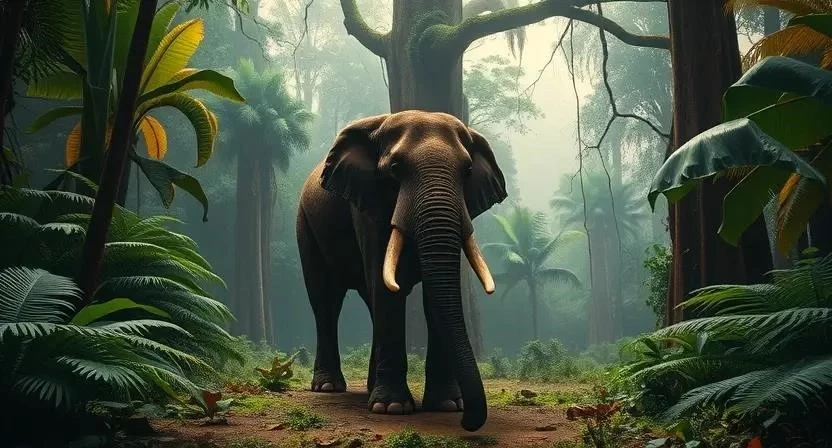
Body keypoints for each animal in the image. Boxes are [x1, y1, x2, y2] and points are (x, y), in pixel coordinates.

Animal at [296, 110, 507, 431]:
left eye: (468, 171)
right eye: (395, 168)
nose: (468, 422)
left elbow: (433, 297)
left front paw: (447, 406)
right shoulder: (368, 207)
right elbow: (385, 291)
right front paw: (392, 408)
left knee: (369, 302)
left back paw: (370, 387)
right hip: (305, 225)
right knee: (326, 301)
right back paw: (328, 387)